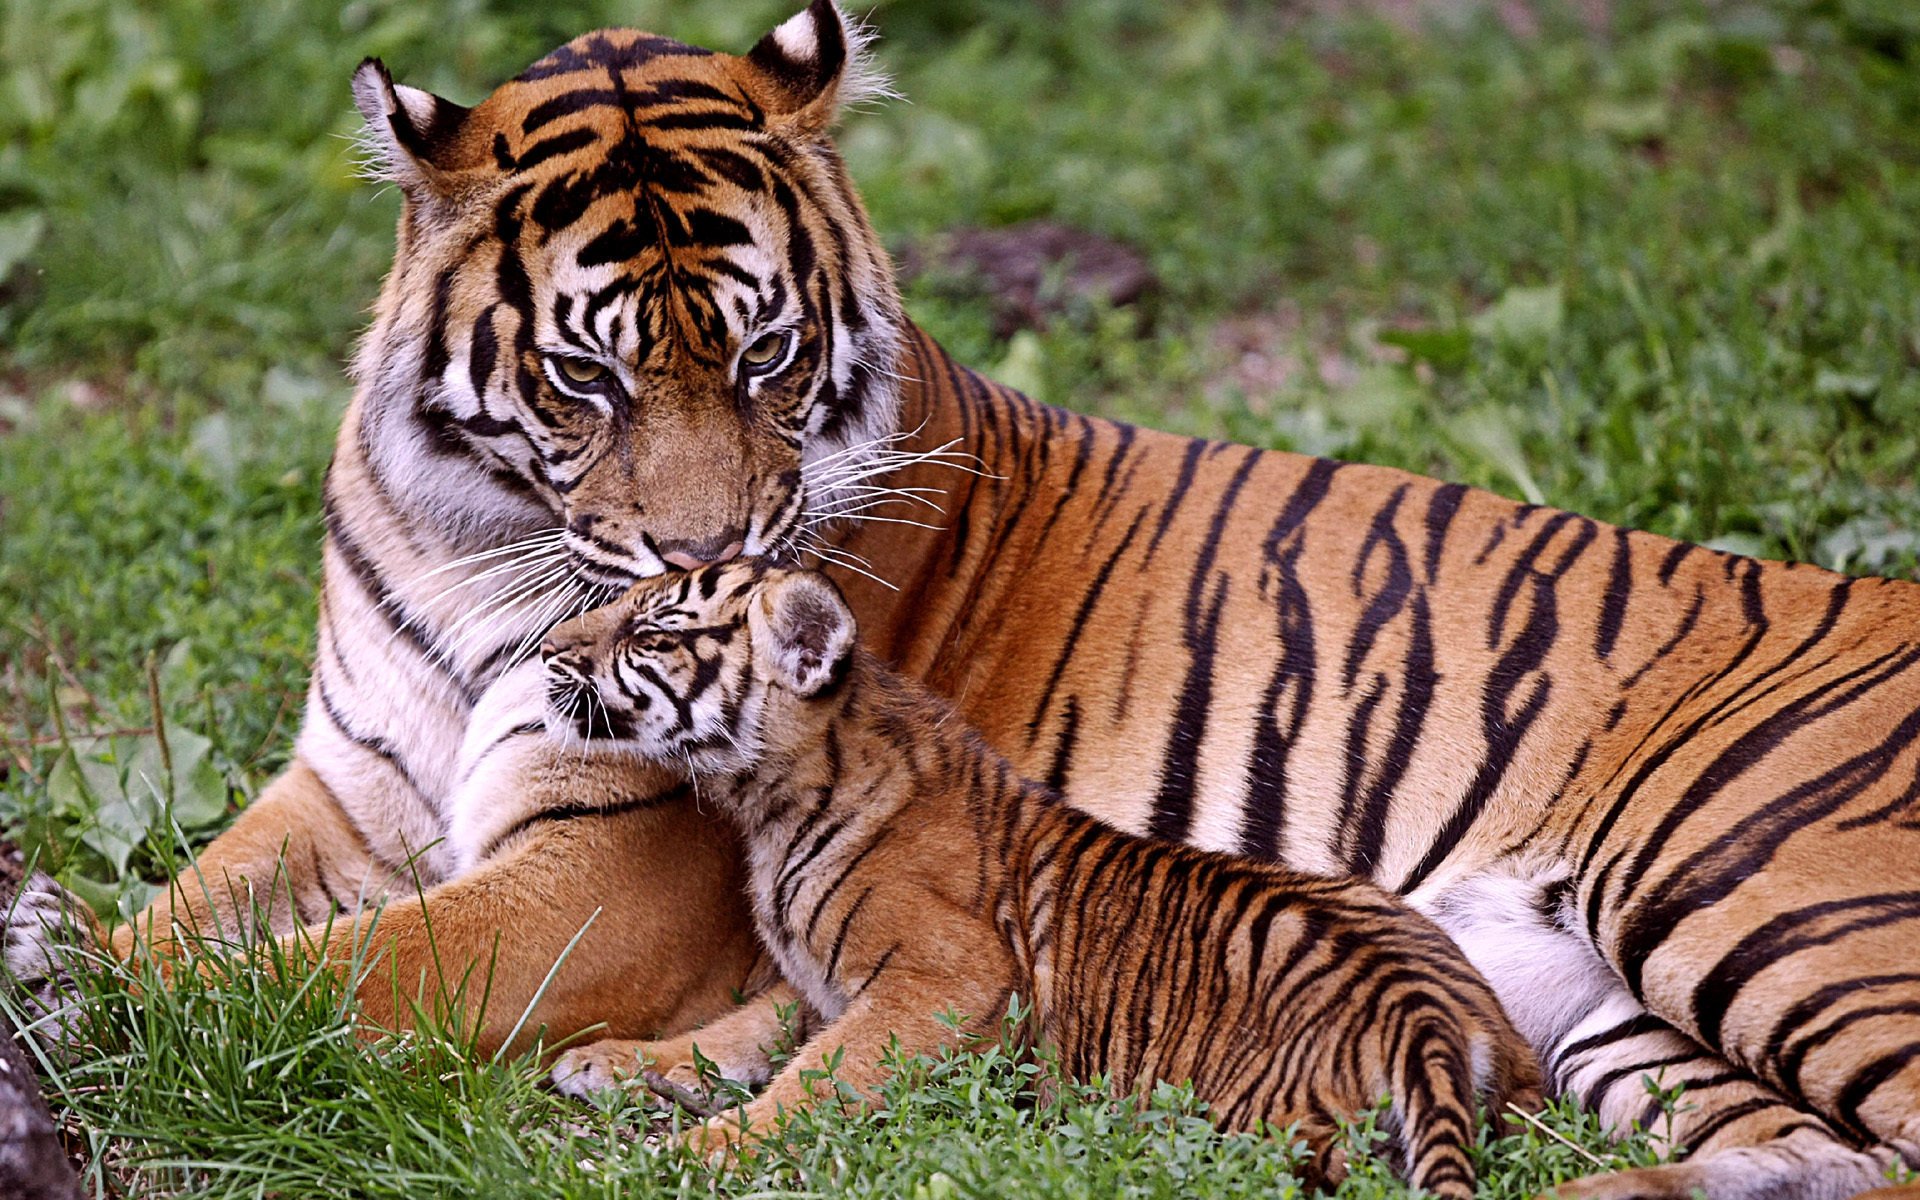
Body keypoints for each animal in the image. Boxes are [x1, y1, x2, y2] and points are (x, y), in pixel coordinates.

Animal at [532, 560, 1543, 1198]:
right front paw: (613, 1062)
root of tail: (1428, 1016)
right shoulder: (817, 983)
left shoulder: (947, 977)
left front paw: (692, 1154)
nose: (549, 650)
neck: (769, 799)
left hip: (1248, 1122)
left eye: (650, 632)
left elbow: (813, 1080)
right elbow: (735, 1035)